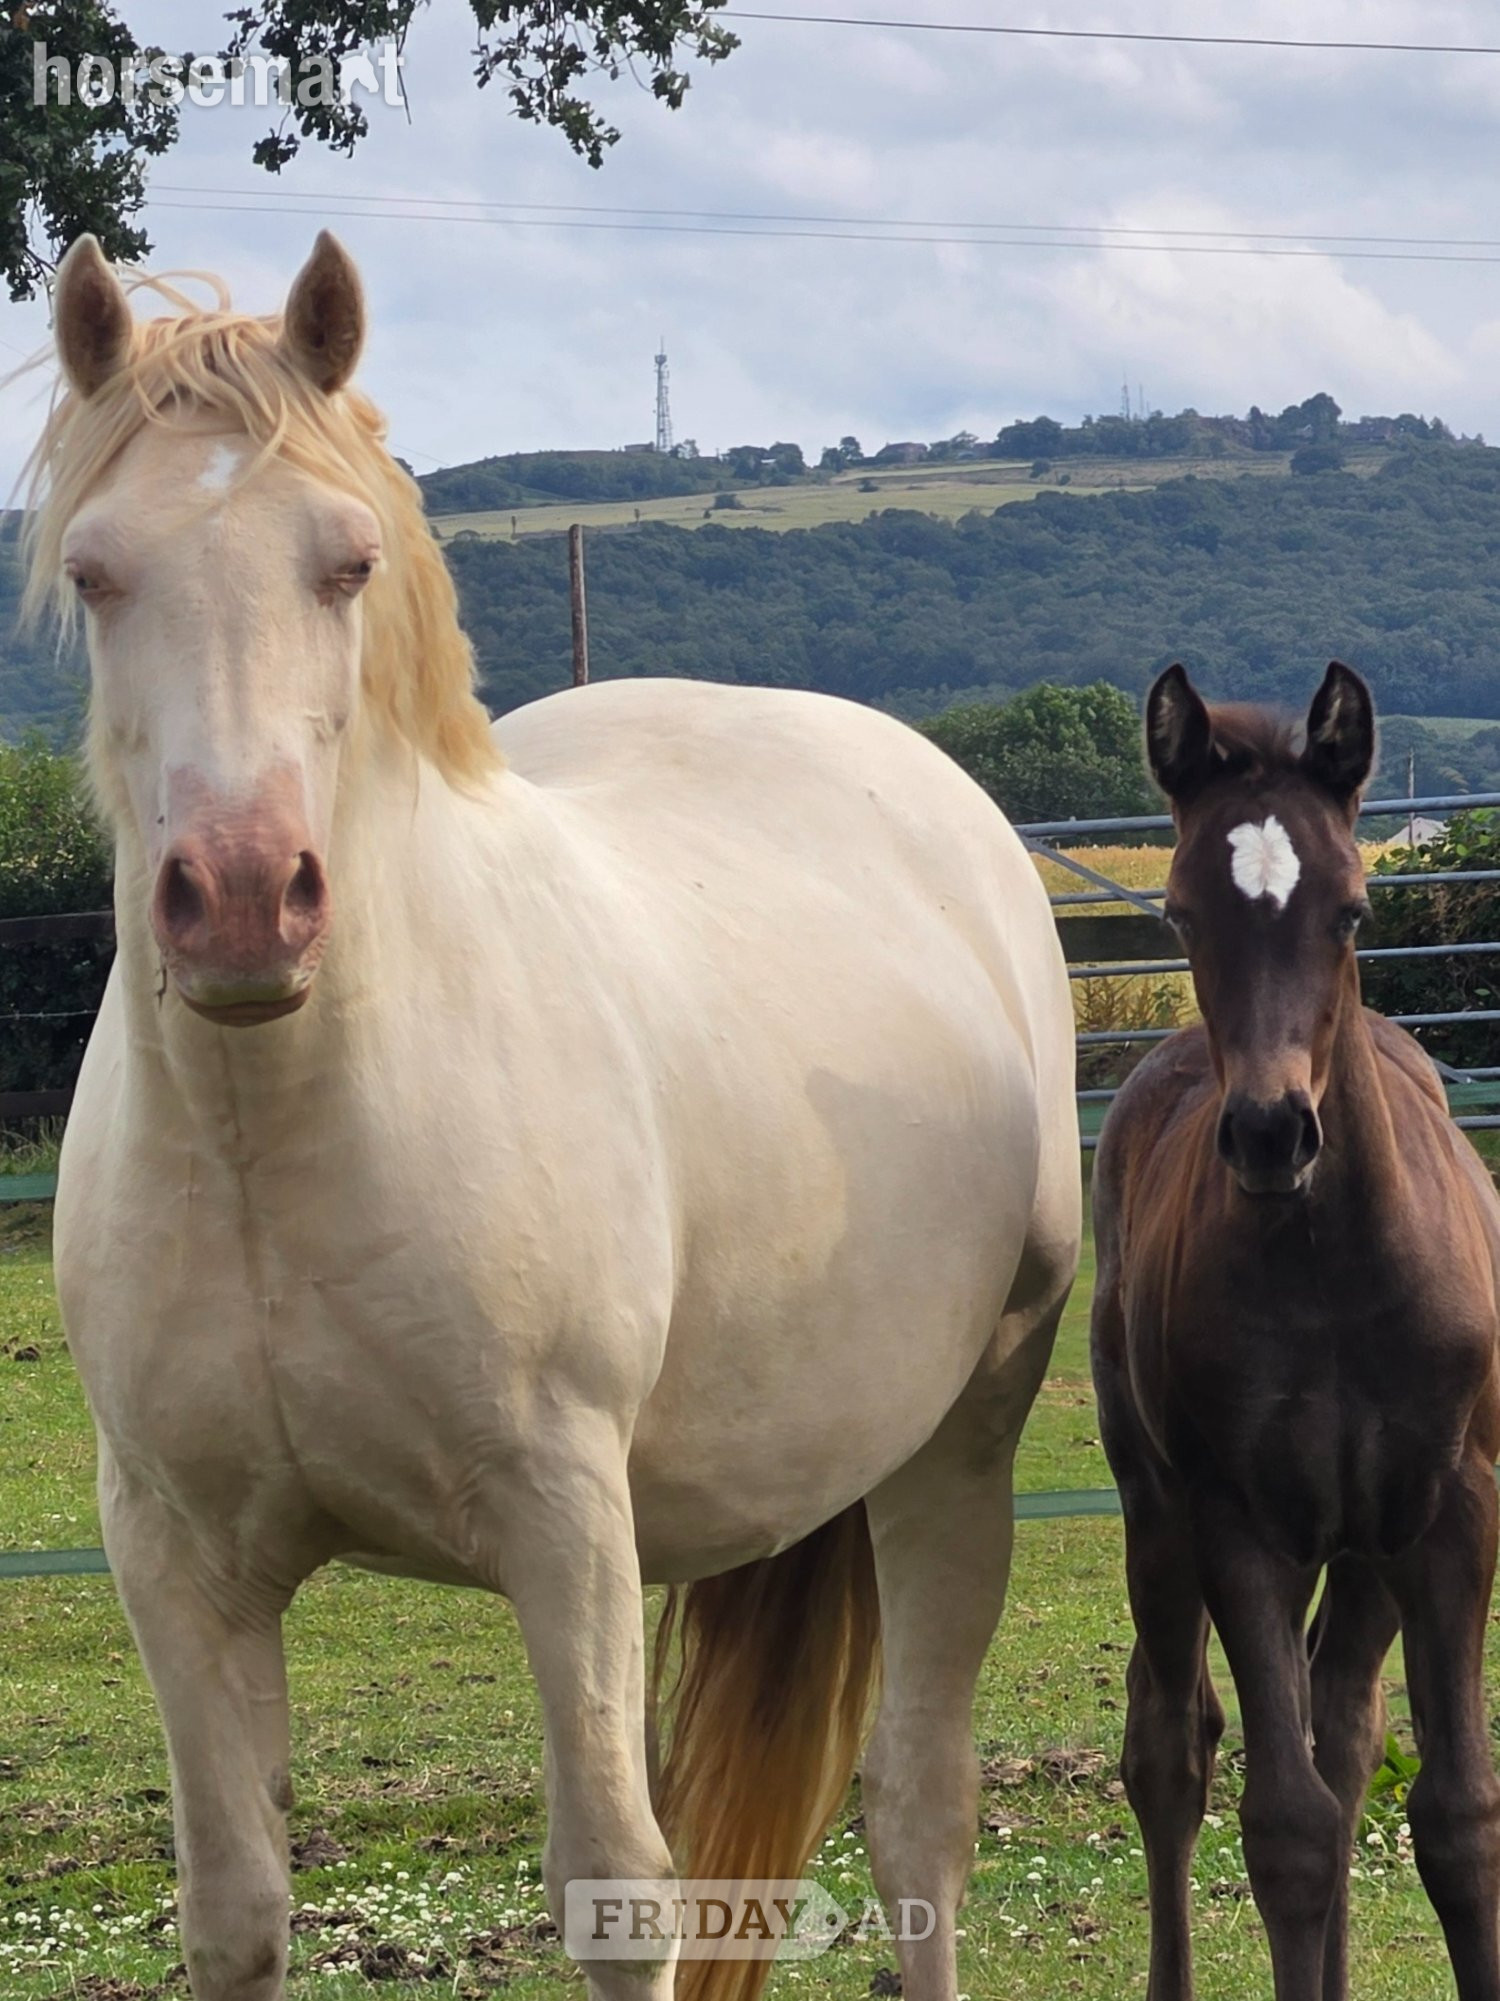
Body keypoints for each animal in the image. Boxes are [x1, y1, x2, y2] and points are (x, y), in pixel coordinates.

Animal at [26, 233, 1081, 2001]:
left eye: (347, 561)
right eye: (97, 573)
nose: (240, 900)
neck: (276, 1143)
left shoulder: (561, 1518)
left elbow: (615, 1882)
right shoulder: (172, 1556)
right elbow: (234, 1902)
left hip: (958, 1446)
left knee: (919, 1810)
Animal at [1091, 660, 1500, 2001]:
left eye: (1356, 912)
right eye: (1177, 915)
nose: (1273, 1133)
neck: (1334, 1278)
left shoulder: (1451, 1511)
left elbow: (1456, 1815)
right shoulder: (1237, 1523)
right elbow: (1288, 1829)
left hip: (1365, 1543)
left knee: (1344, 1723)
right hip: (1155, 1512)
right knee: (1170, 1747)